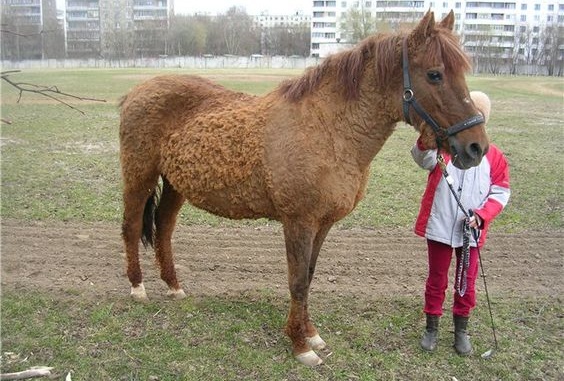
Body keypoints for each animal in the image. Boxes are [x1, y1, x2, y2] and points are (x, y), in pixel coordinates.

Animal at [119, 10, 490, 364]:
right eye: (435, 74)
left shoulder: (322, 224)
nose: (476, 147)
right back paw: (137, 287)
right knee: (132, 227)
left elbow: (308, 277)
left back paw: (173, 286)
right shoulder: (298, 221)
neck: (328, 130)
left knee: (164, 228)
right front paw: (300, 346)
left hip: (175, 185)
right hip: (139, 177)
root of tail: (135, 92)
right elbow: (297, 281)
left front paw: (311, 334)